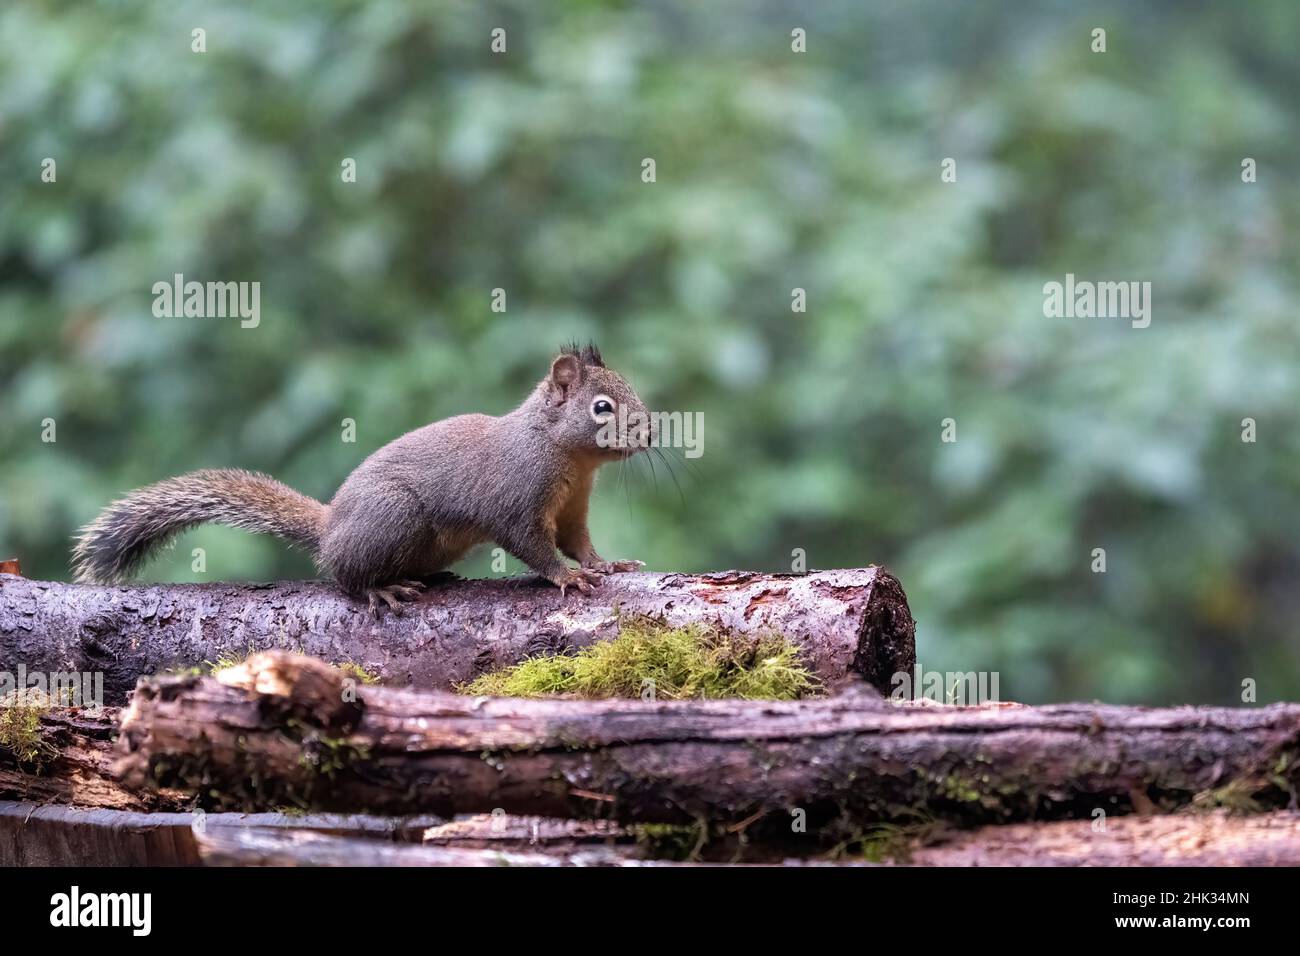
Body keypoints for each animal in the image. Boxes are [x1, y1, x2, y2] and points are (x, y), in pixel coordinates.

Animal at [72, 343, 652, 614]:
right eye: (602, 407)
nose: (650, 432)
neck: (566, 456)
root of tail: (331, 526)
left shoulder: (573, 508)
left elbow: (578, 541)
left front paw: (606, 564)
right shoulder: (518, 498)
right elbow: (533, 545)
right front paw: (566, 578)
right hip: (394, 516)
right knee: (344, 577)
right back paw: (382, 589)